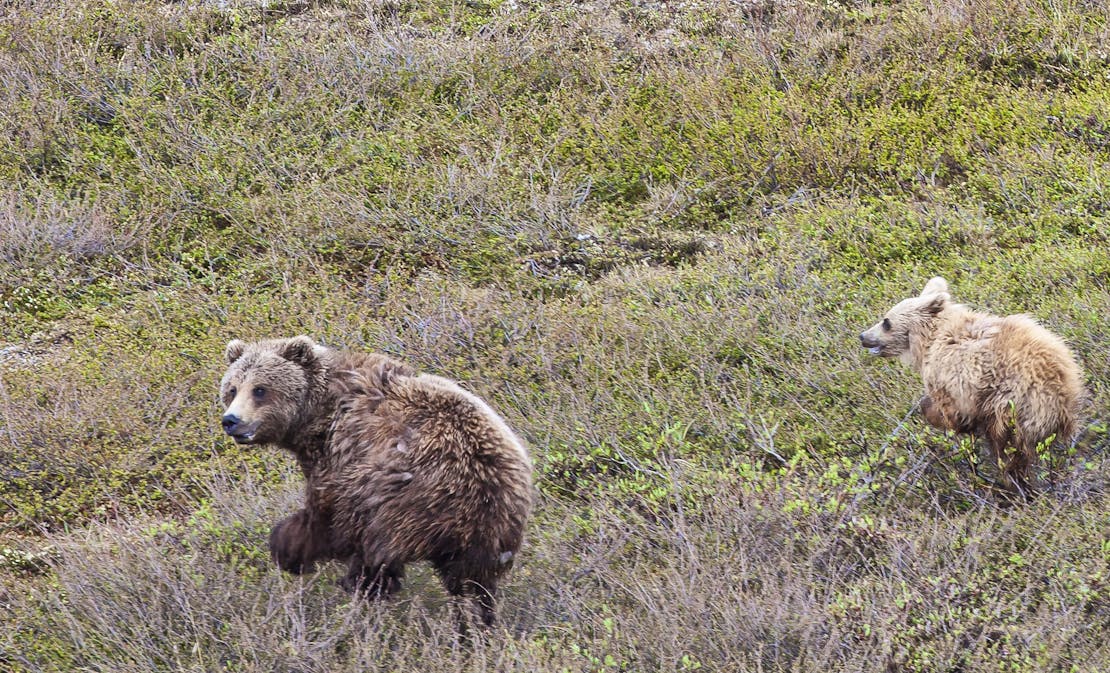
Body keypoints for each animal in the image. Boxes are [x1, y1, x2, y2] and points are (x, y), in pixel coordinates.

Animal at [219, 337, 532, 626]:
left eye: (260, 389)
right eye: (232, 389)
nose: (231, 420)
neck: (317, 416)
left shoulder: (342, 452)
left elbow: (324, 514)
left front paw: (287, 547)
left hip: (404, 497)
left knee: (372, 548)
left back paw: (359, 589)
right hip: (492, 534)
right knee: (473, 585)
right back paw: (474, 625)